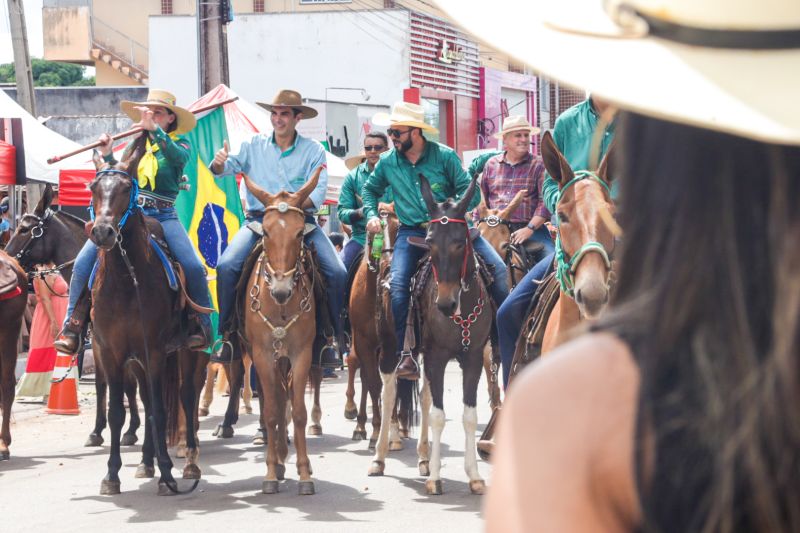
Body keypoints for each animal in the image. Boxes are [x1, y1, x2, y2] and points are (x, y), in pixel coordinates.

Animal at [88, 142, 206, 494]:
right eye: (93, 187)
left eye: (126, 188)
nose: (103, 232)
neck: (126, 280)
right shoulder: (110, 353)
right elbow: (117, 411)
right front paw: (112, 475)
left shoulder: (152, 350)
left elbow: (160, 409)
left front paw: (168, 471)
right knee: (148, 399)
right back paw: (146, 462)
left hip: (187, 353)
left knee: (186, 397)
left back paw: (188, 464)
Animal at [239, 166, 324, 494]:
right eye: (265, 232)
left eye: (300, 233)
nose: (281, 290)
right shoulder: (262, 355)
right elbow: (273, 410)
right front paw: (270, 473)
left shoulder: (301, 354)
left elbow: (297, 411)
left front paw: (304, 473)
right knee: (271, 400)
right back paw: (275, 458)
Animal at [370, 175, 494, 494]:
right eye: (429, 242)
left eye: (460, 242)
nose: (446, 303)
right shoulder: (437, 356)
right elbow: (438, 416)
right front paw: (436, 479)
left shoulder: (473, 358)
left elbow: (468, 415)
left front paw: (475, 476)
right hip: (389, 348)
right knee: (389, 392)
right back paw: (379, 456)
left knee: (425, 396)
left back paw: (424, 458)